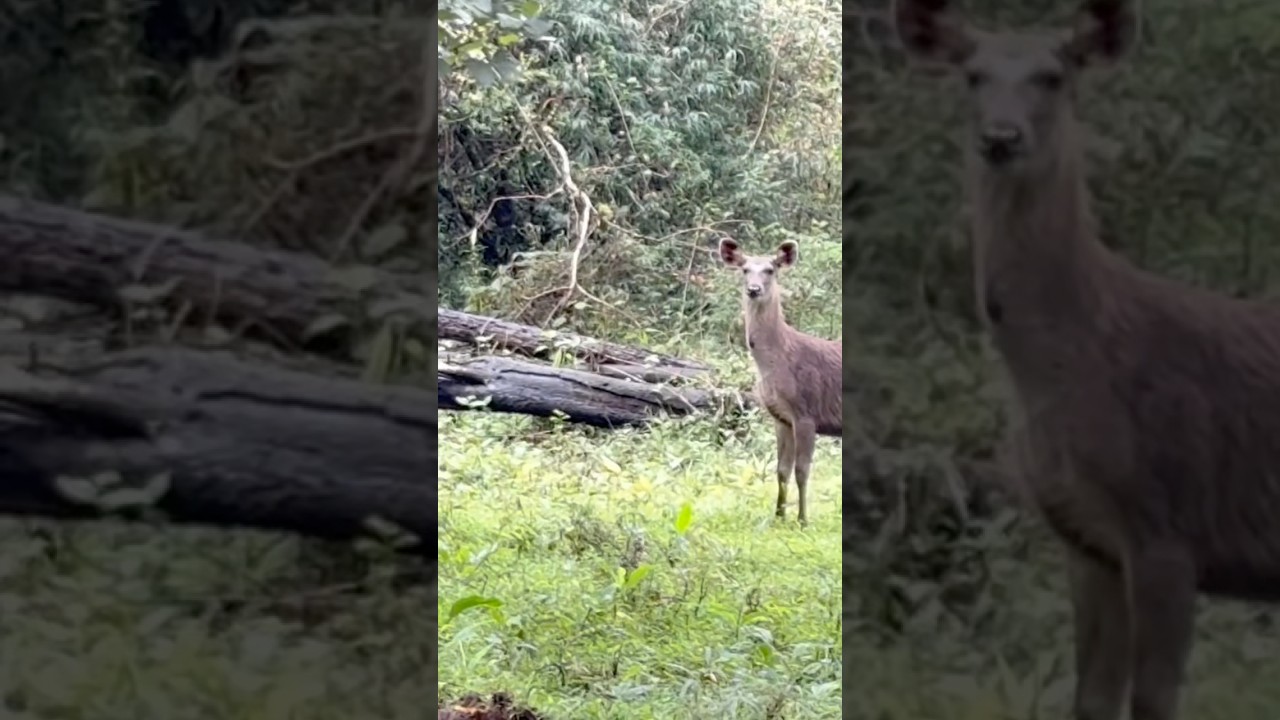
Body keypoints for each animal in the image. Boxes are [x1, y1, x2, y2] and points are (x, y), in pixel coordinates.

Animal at [717, 238, 841, 526]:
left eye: (770, 270)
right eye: (745, 269)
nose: (753, 289)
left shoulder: (807, 413)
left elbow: (802, 470)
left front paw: (803, 520)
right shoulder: (780, 417)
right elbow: (781, 469)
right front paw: (778, 516)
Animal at [892, 0, 1280, 718]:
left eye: (1054, 75)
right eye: (972, 75)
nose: (1001, 137)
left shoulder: (1169, 528)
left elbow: (1153, 702)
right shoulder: (1086, 542)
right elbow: (1091, 700)